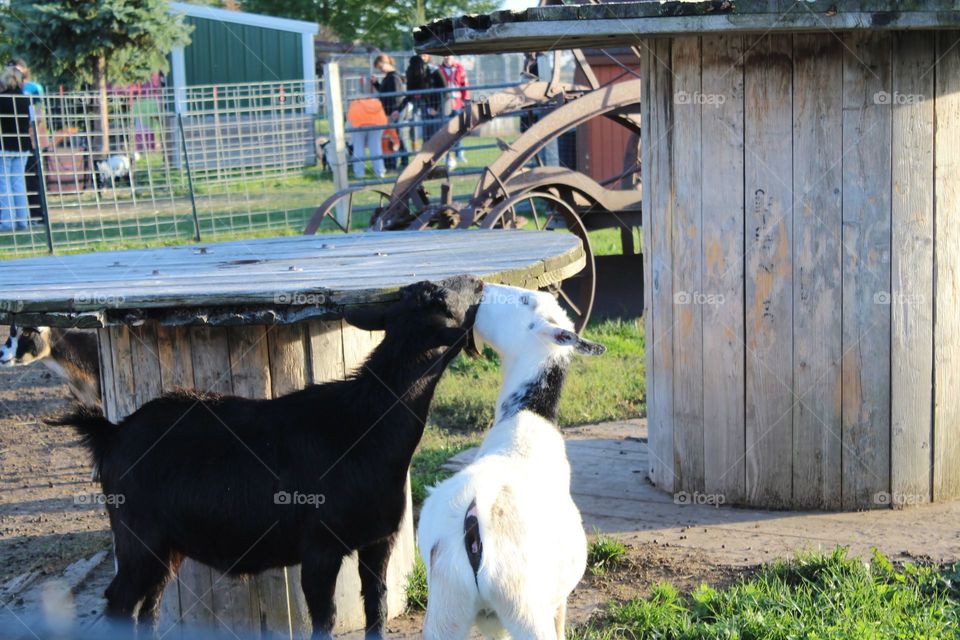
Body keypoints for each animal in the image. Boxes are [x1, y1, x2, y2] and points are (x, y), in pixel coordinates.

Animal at [48, 276, 484, 640]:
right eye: (441, 298)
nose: (478, 282)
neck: (366, 425)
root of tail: (111, 433)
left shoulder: (378, 541)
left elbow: (375, 608)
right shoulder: (319, 548)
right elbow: (324, 619)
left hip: (166, 545)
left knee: (148, 604)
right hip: (138, 536)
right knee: (120, 601)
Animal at [416, 284, 604, 640]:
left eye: (524, 300)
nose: (482, 287)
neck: (527, 414)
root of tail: (474, 518)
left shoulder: (491, 621)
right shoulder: (555, 601)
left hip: (448, 605)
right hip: (523, 604)